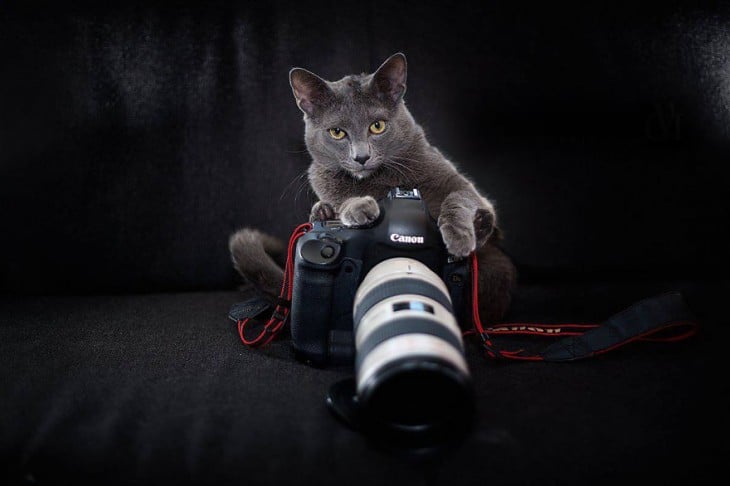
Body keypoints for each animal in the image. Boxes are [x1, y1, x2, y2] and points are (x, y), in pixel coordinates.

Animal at [230, 53, 516, 324]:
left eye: (377, 126)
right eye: (337, 132)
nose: (361, 157)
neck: (381, 181)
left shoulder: (456, 182)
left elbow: (460, 196)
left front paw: (459, 236)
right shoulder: (322, 179)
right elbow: (342, 197)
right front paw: (359, 207)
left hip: (497, 271)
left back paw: (480, 225)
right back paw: (322, 212)